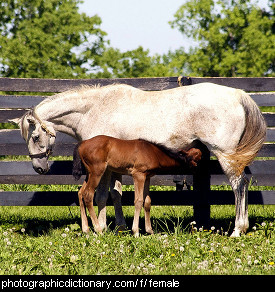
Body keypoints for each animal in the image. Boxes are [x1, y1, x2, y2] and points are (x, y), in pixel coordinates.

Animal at [73, 136, 203, 236]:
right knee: (88, 195)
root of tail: (83, 143)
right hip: (97, 172)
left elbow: (147, 201)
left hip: (89, 173)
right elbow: (139, 200)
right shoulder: (138, 175)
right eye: (198, 159)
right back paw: (98, 230)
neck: (153, 152)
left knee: (80, 193)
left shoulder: (147, 177)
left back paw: (86, 230)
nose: (198, 171)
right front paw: (135, 232)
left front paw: (150, 230)